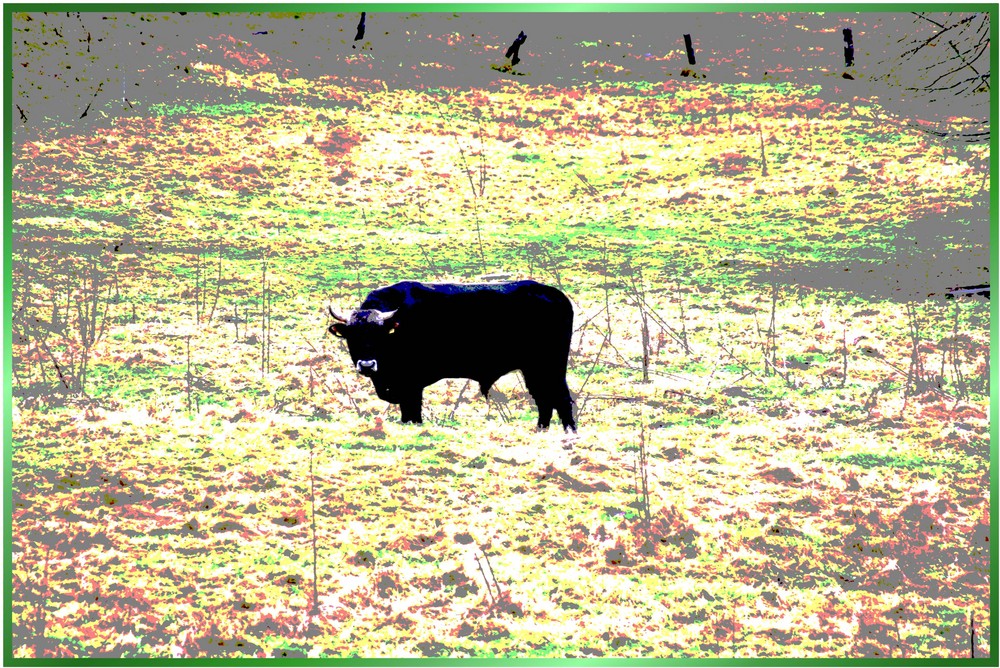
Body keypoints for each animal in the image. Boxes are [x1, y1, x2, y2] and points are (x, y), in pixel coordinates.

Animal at [330, 280, 580, 430]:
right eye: (352, 336)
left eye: (379, 335)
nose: (367, 365)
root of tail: (554, 294)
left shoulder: (412, 385)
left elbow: (412, 413)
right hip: (534, 370)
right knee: (544, 399)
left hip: (551, 366)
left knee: (561, 398)